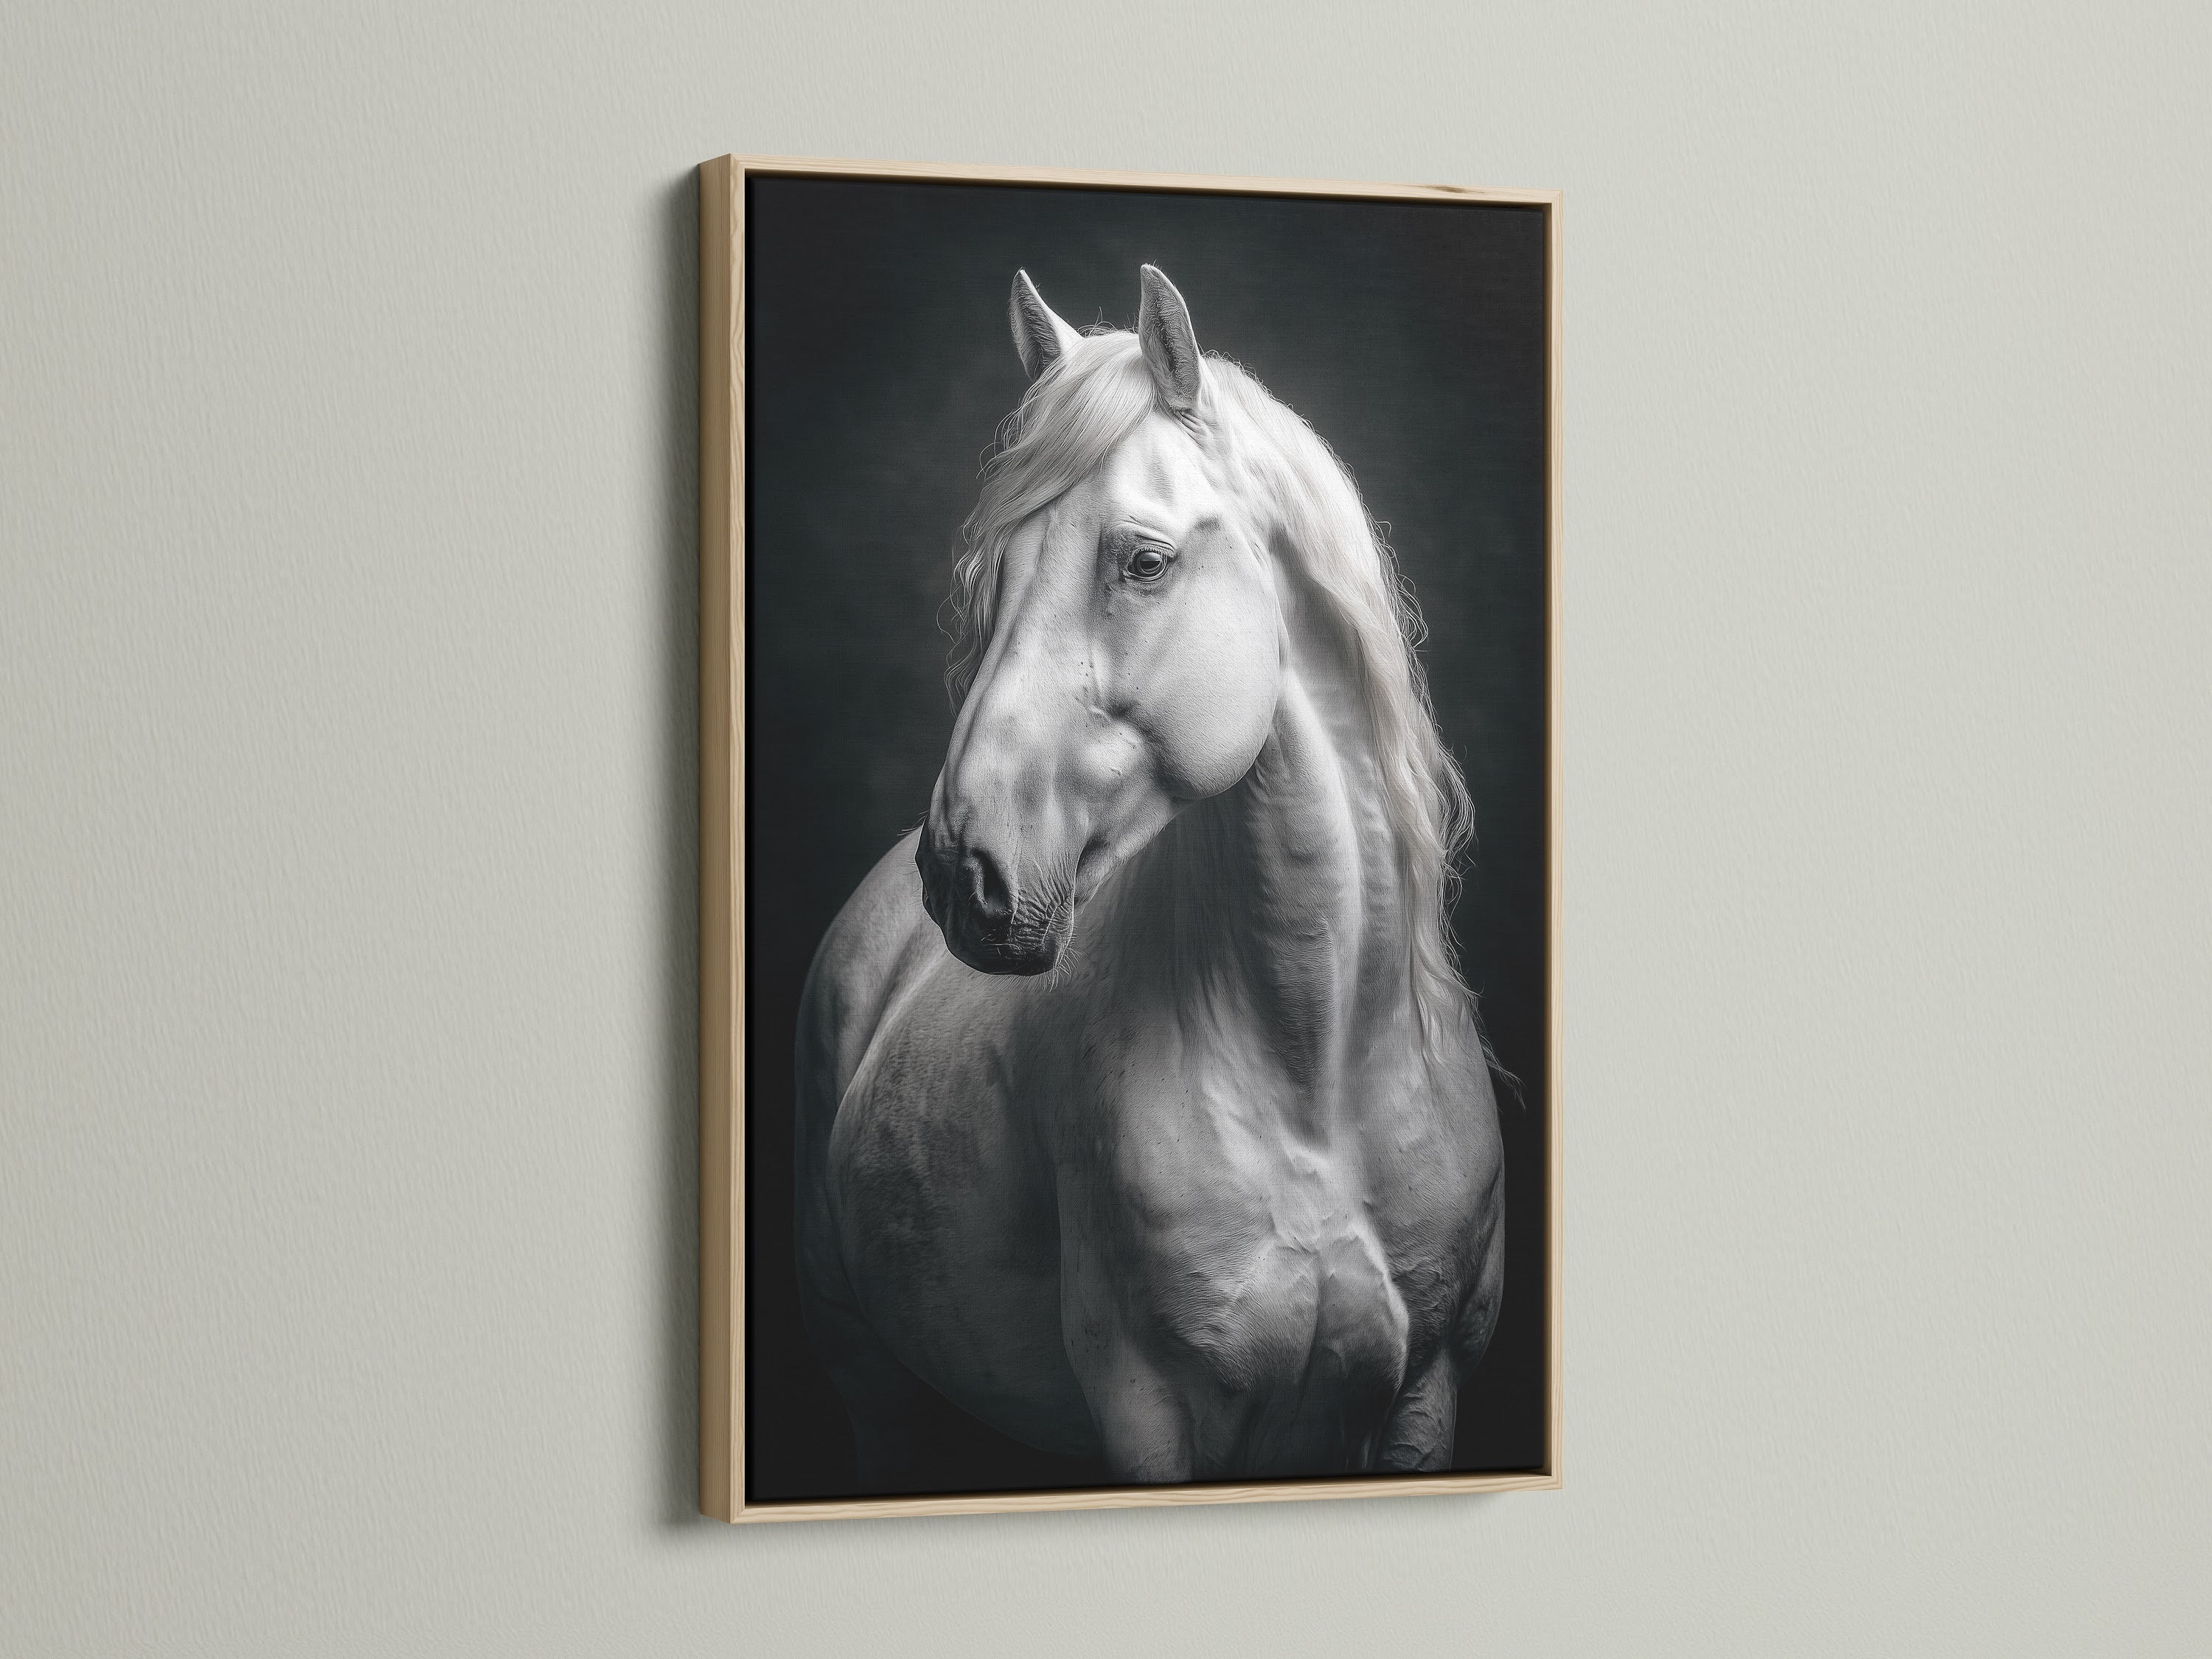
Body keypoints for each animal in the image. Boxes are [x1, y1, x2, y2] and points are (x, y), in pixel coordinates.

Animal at [794, 265, 1504, 1490]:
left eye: (1145, 561)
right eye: (995, 572)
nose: (962, 874)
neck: (1319, 1069)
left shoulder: (1427, 1397)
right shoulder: (1152, 1418)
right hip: (871, 1380)